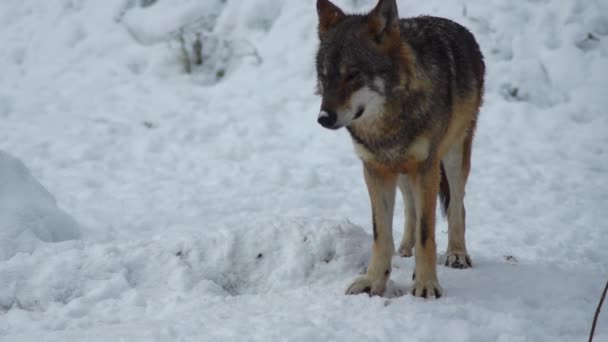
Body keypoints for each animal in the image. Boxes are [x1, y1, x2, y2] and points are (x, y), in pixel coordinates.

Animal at [314, 0, 484, 298]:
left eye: (353, 74)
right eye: (324, 77)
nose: (324, 118)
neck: (387, 126)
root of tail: (461, 29)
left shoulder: (426, 168)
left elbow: (427, 233)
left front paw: (426, 285)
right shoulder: (375, 169)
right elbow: (381, 233)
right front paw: (373, 281)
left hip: (453, 157)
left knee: (457, 206)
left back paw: (456, 254)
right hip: (403, 171)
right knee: (410, 207)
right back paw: (405, 248)